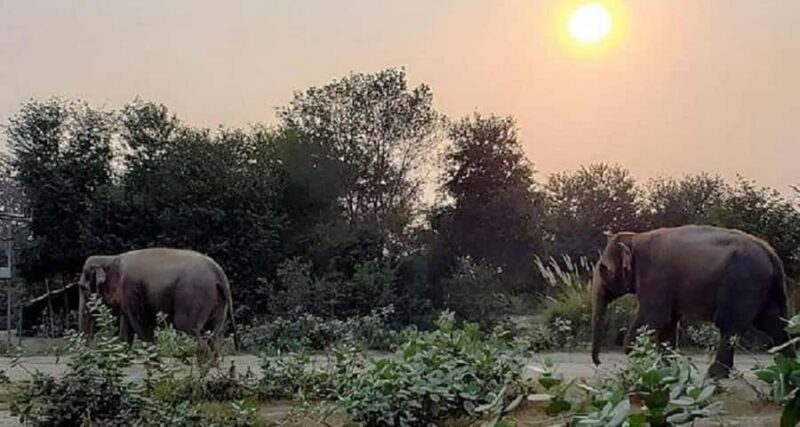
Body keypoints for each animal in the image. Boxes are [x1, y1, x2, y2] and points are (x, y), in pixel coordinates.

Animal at [78, 248, 239, 353]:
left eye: (82, 288)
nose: (88, 350)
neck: (112, 258)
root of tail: (218, 271)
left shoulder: (132, 290)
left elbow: (141, 325)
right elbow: (126, 332)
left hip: (194, 295)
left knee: (189, 329)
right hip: (219, 301)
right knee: (213, 335)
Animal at [591, 225, 794, 379]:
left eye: (603, 269)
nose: (598, 362)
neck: (636, 238)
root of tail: (771, 254)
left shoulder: (656, 277)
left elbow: (655, 317)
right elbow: (669, 323)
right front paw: (666, 368)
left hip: (743, 283)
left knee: (730, 327)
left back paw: (715, 374)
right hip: (765, 288)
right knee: (774, 325)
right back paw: (787, 369)